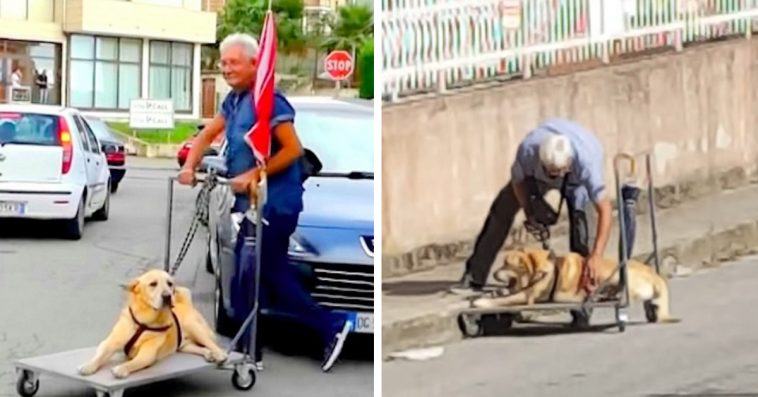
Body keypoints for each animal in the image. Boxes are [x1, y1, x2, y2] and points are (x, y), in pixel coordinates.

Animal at [79, 270, 232, 378]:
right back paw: (209, 354)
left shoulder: (147, 354)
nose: (168, 296)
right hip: (184, 345)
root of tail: (187, 304)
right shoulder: (109, 343)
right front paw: (88, 366)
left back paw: (219, 354)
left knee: (211, 343)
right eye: (153, 284)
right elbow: (100, 355)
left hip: (195, 328)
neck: (143, 322)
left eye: (170, 283)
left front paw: (121, 368)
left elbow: (133, 363)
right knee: (199, 347)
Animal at [472, 248, 680, 322]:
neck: (540, 269)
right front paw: (486, 295)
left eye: (506, 264)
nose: (493, 273)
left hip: (619, 274)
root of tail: (656, 275)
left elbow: (505, 299)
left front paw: (481, 302)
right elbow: (502, 294)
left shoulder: (527, 295)